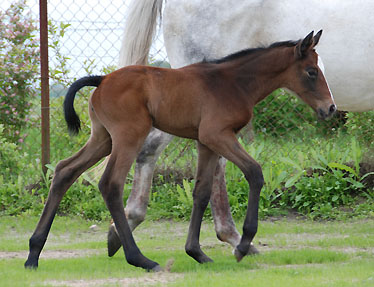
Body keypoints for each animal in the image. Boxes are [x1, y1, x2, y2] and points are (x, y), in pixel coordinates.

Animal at [26, 31, 336, 272]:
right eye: (311, 72)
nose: (330, 108)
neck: (233, 82)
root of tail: (102, 80)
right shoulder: (217, 135)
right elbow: (254, 173)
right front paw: (243, 245)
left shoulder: (206, 142)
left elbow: (202, 191)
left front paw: (197, 252)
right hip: (128, 137)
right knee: (110, 184)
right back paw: (140, 259)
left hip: (103, 139)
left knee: (65, 170)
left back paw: (33, 253)